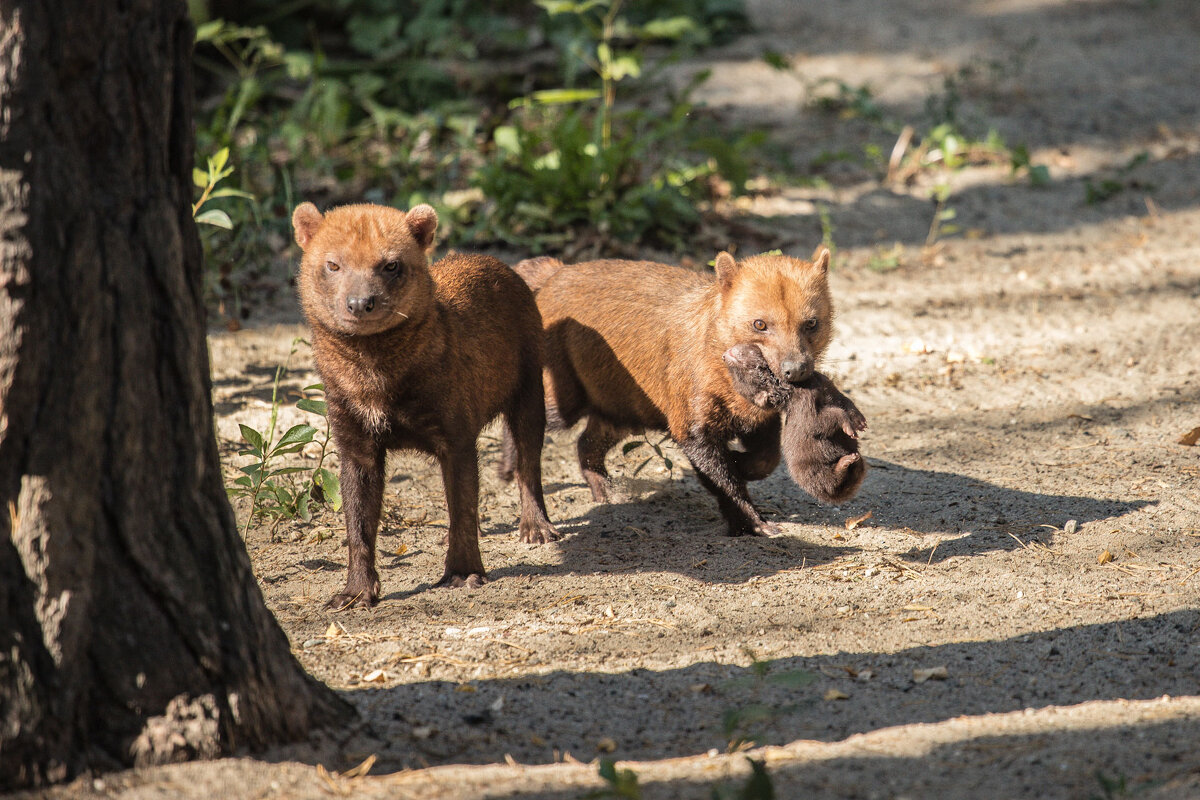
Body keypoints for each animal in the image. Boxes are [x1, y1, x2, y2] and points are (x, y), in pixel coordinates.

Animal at [290, 200, 556, 606]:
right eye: (333, 264)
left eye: (391, 264)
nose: (360, 303)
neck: (376, 386)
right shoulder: (354, 440)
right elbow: (358, 524)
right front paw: (354, 593)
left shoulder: (457, 434)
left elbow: (463, 509)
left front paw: (463, 573)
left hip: (529, 389)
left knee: (529, 462)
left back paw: (536, 528)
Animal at [506, 250, 835, 537]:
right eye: (760, 323)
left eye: (811, 323)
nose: (796, 370)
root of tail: (554, 273)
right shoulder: (692, 424)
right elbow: (724, 480)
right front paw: (753, 524)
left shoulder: (759, 419)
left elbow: (767, 459)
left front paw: (739, 463)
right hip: (564, 401)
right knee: (529, 422)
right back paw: (512, 480)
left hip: (623, 409)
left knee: (586, 442)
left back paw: (606, 492)